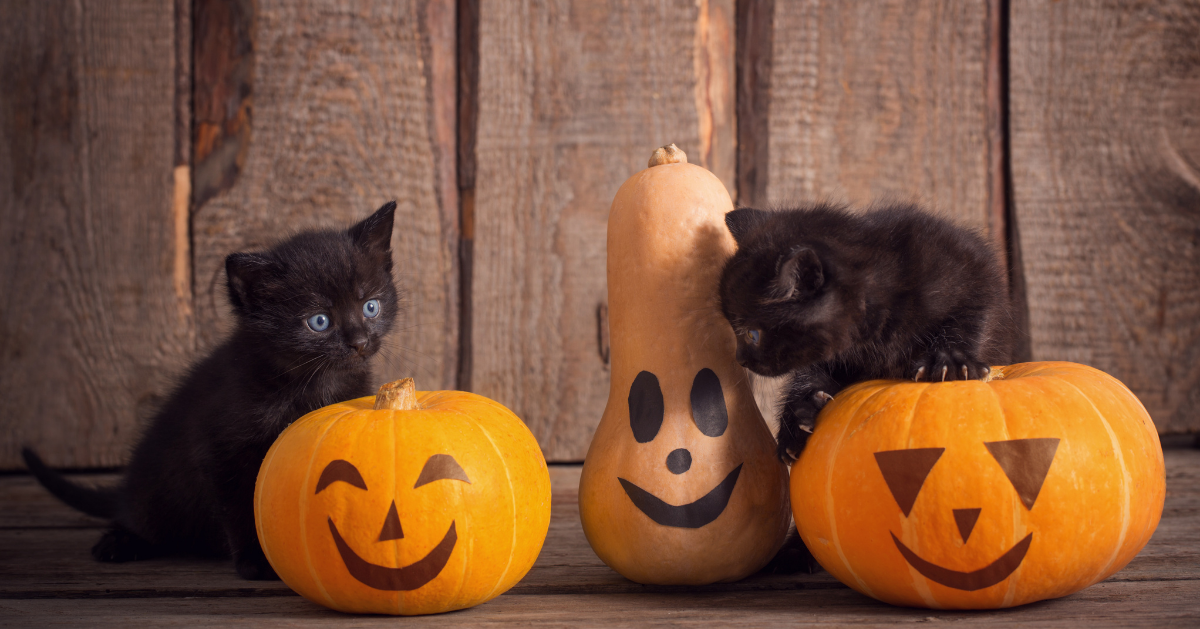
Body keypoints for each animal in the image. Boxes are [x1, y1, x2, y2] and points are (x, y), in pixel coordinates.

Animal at [23, 201, 400, 580]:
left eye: (370, 306)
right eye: (319, 321)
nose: (360, 342)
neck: (313, 382)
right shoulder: (223, 450)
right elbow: (242, 507)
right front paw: (256, 560)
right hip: (158, 494)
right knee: (140, 517)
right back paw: (119, 542)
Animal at [720, 204, 1012, 463]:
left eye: (752, 334)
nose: (739, 359)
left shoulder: (974, 270)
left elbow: (971, 319)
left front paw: (951, 361)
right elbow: (810, 373)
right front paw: (797, 416)